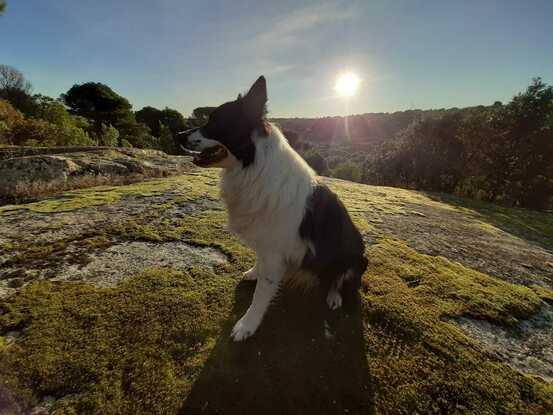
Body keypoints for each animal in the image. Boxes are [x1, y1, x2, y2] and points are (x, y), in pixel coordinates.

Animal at [177, 77, 366, 342]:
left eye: (215, 121)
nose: (177, 135)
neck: (253, 169)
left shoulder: (275, 252)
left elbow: (260, 294)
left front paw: (247, 325)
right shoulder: (264, 240)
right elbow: (259, 261)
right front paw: (253, 272)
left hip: (354, 257)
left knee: (338, 279)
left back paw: (333, 296)